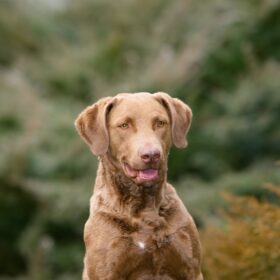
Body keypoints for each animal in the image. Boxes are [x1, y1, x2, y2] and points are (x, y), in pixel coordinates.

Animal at [76, 92, 203, 280]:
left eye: (160, 123)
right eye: (124, 125)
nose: (151, 155)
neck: (144, 207)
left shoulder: (191, 269)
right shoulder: (106, 272)